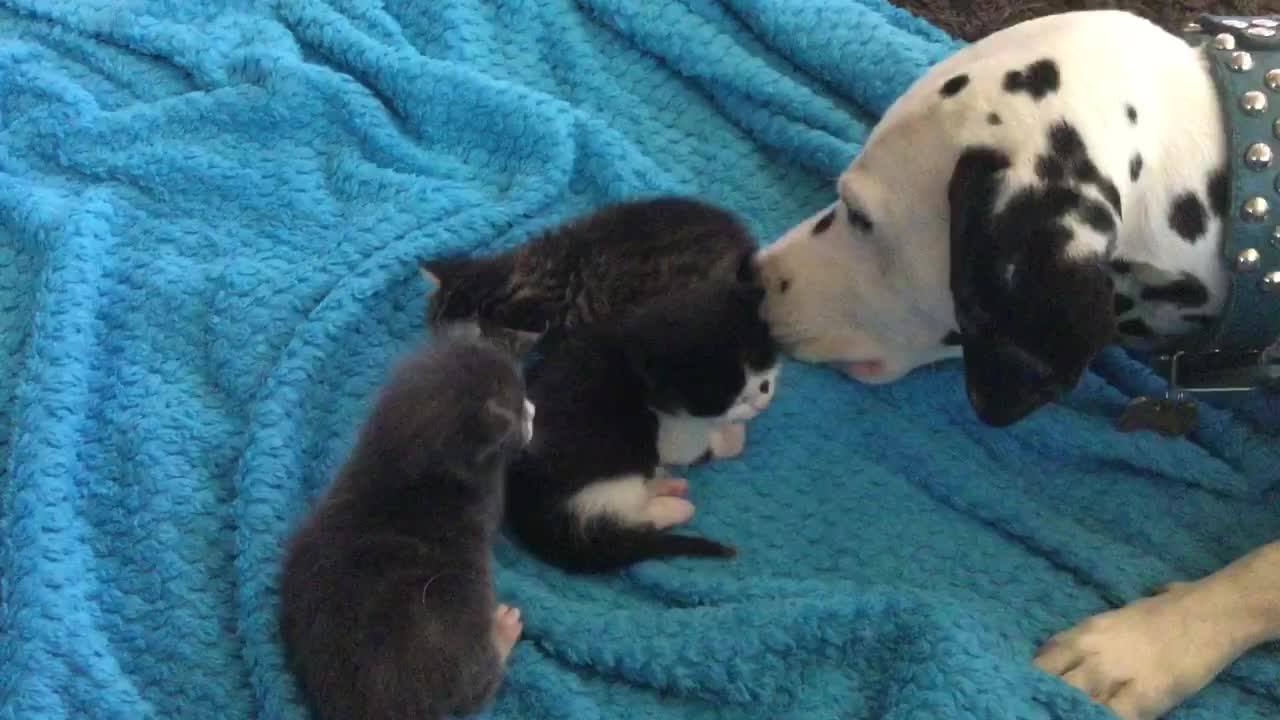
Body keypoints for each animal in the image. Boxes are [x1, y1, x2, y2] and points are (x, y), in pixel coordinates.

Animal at [504, 275, 773, 571]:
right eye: (727, 399)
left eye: (762, 372)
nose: (761, 400)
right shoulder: (671, 430)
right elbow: (696, 446)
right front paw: (732, 435)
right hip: (612, 470)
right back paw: (673, 507)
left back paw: (666, 484)